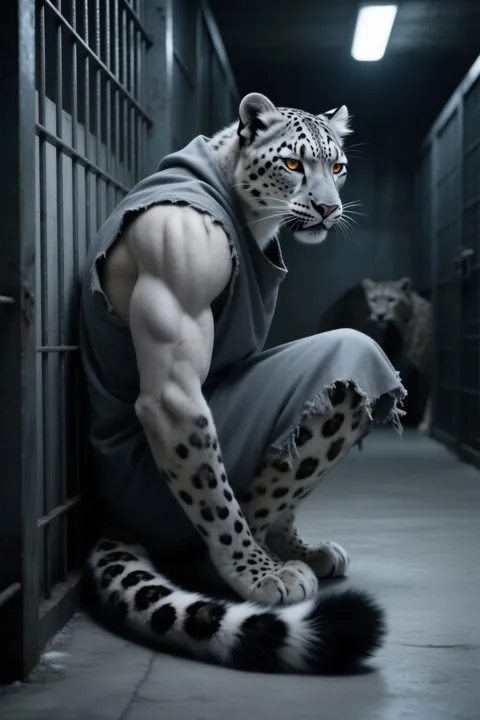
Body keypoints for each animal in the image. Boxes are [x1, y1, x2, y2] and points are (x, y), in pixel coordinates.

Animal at [81, 93, 399, 676]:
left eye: (337, 167)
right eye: (293, 164)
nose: (328, 209)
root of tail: (109, 511)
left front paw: (297, 547)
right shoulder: (180, 256)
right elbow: (214, 494)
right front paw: (258, 572)